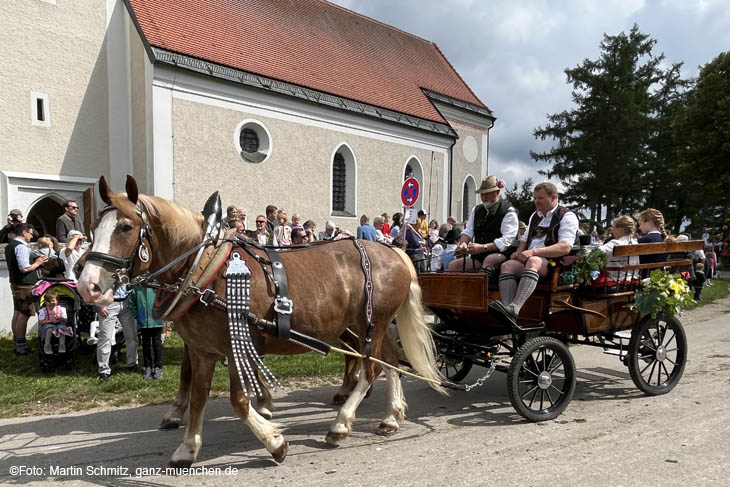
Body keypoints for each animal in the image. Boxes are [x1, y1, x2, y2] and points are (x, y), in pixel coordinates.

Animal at [79, 177, 444, 468]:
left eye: (126, 227)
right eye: (94, 229)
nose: (87, 285)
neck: (206, 270)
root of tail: (395, 252)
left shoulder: (237, 345)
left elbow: (239, 401)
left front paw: (275, 441)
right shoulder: (201, 350)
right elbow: (198, 397)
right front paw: (188, 447)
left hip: (372, 323)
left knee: (371, 368)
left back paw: (340, 424)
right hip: (368, 325)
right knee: (391, 361)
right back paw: (391, 417)